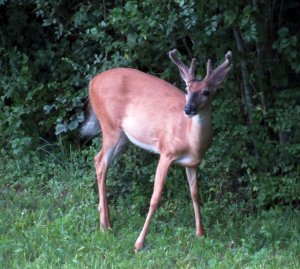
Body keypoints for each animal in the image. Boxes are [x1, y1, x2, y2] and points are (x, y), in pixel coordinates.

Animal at [81, 48, 232, 249]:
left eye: (206, 92)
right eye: (187, 89)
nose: (188, 109)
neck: (190, 139)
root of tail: (92, 82)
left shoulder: (193, 163)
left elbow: (195, 194)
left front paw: (200, 233)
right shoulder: (166, 152)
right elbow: (155, 197)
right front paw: (139, 243)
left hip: (123, 138)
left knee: (98, 160)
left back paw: (106, 222)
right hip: (110, 126)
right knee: (101, 162)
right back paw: (105, 226)